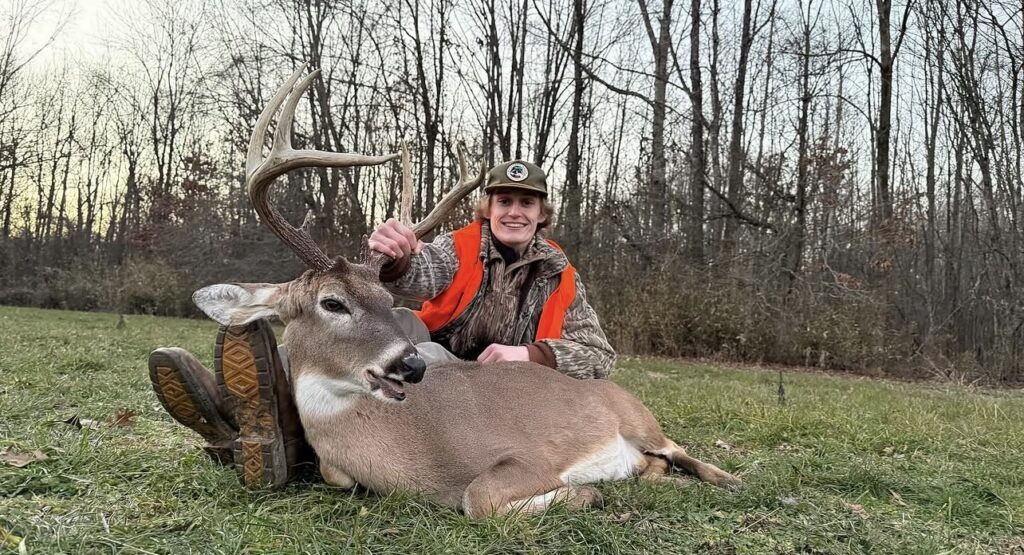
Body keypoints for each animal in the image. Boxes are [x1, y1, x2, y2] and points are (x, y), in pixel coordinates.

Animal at [192, 66, 741, 517]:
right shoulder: (341, 468)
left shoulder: (527, 456)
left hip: (639, 418)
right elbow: (336, 475)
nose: (411, 364)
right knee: (656, 464)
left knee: (678, 449)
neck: (410, 452)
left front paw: (586, 493)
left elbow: (477, 497)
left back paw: (729, 480)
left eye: (388, 302)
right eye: (333, 302)